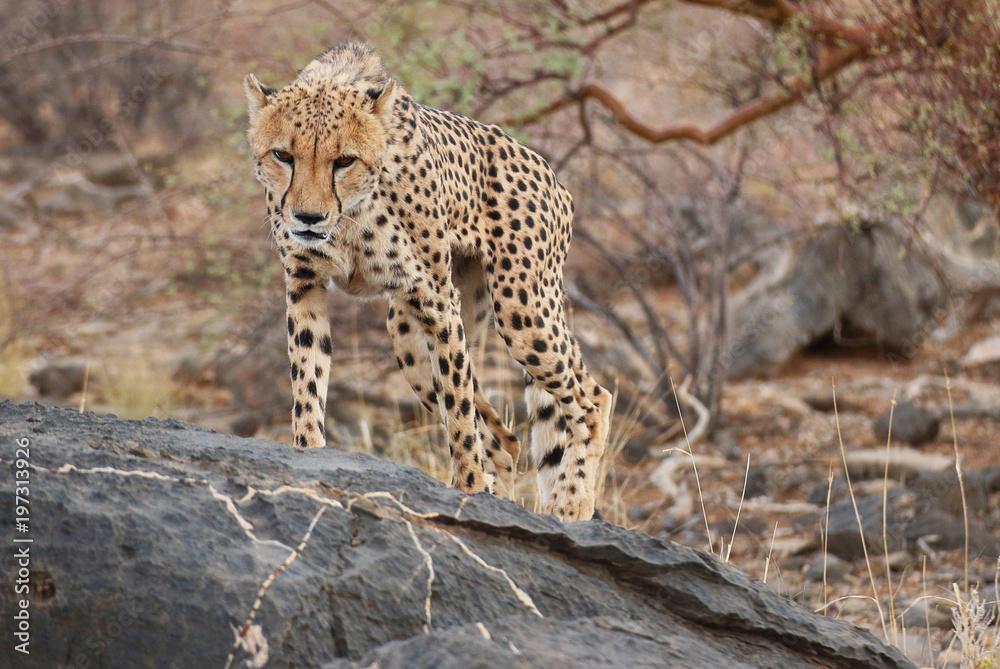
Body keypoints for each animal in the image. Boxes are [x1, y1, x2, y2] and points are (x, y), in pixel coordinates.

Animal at [244, 42, 612, 522]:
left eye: (344, 160)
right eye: (283, 156)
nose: (308, 217)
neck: (351, 217)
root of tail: (546, 168)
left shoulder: (437, 299)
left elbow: (459, 413)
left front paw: (468, 490)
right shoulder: (305, 284)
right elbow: (307, 379)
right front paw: (307, 454)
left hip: (522, 309)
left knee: (591, 397)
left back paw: (571, 501)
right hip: (409, 338)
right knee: (506, 441)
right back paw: (507, 492)